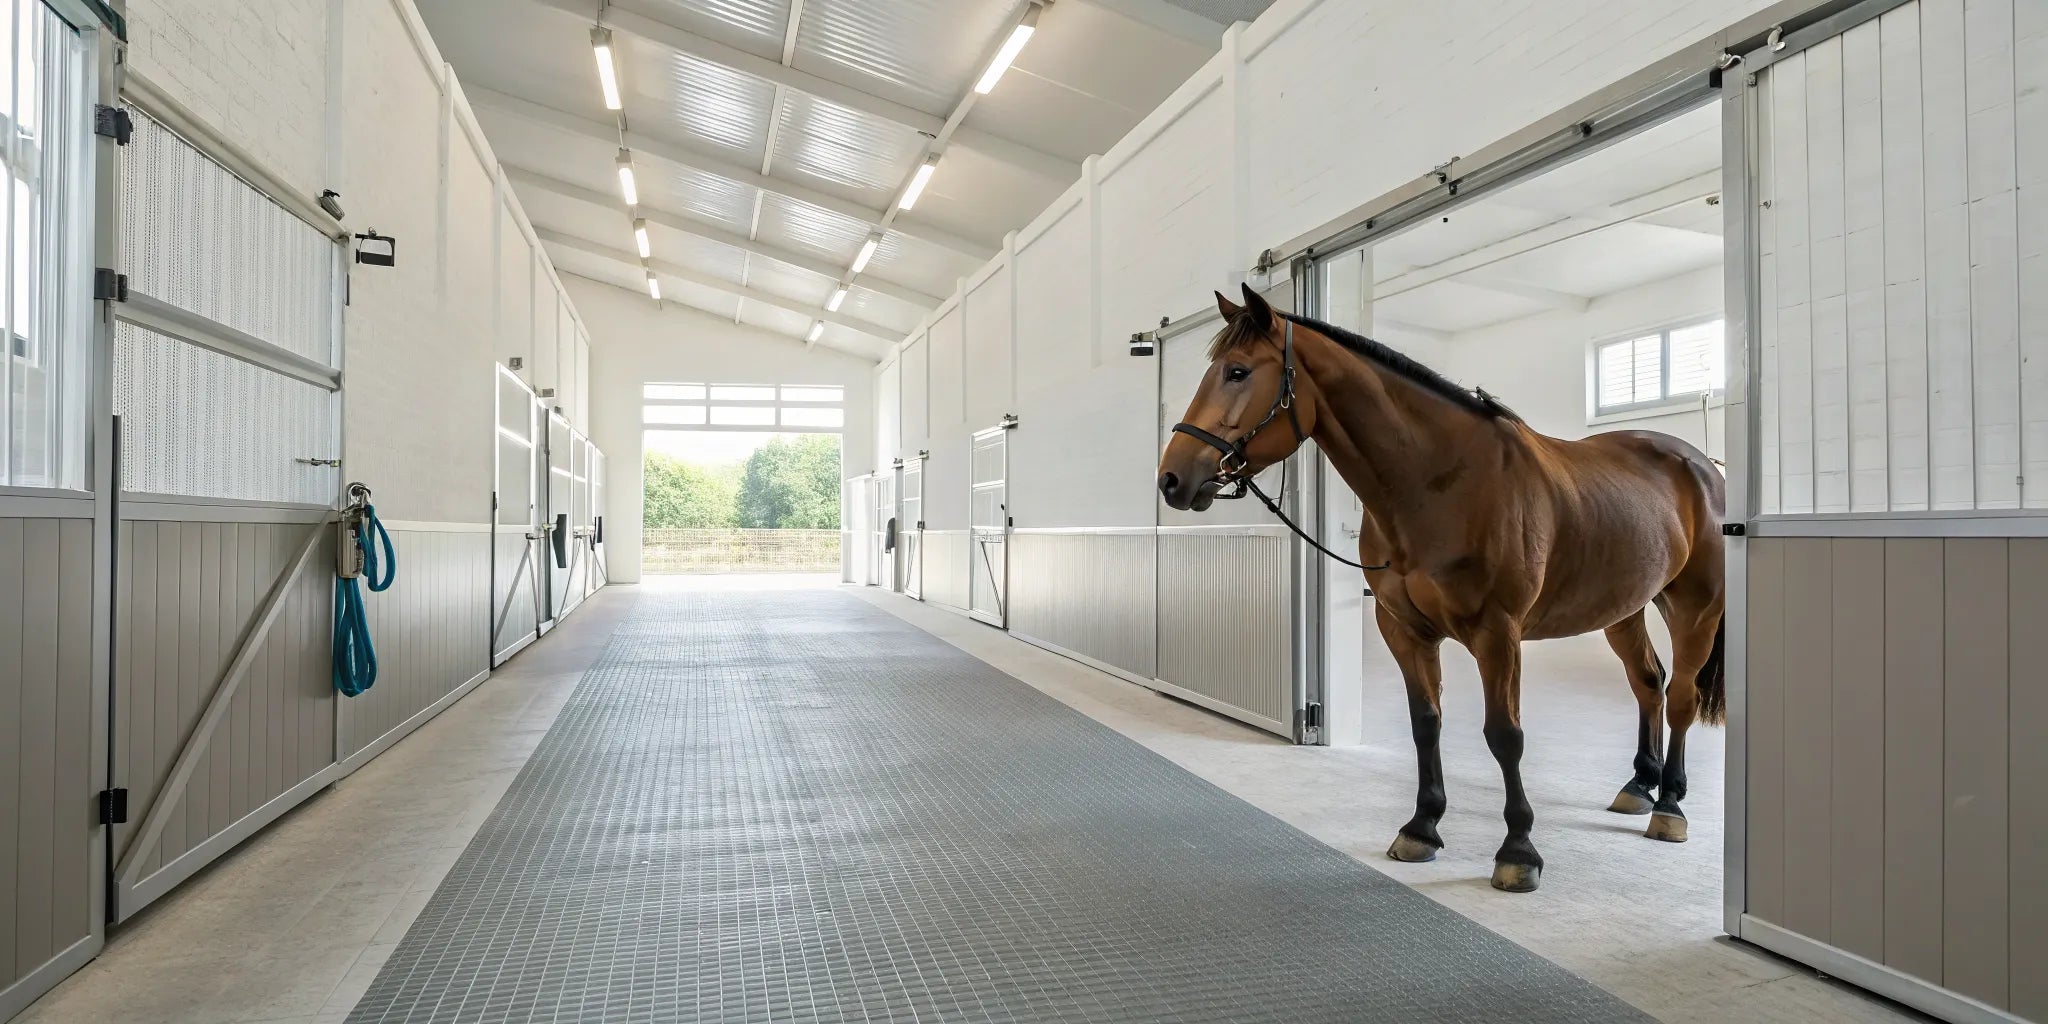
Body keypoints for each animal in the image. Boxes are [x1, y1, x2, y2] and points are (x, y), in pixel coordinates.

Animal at [1157, 283, 1725, 893]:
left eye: (1237, 372)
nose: (1172, 479)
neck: (1440, 481)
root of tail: (1702, 466)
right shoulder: (1403, 629)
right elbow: (1425, 724)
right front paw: (1422, 828)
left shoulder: (1498, 634)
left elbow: (1504, 735)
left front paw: (1518, 851)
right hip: (1624, 609)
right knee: (1649, 683)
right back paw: (1639, 786)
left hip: (1696, 608)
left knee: (1682, 697)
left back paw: (1670, 806)